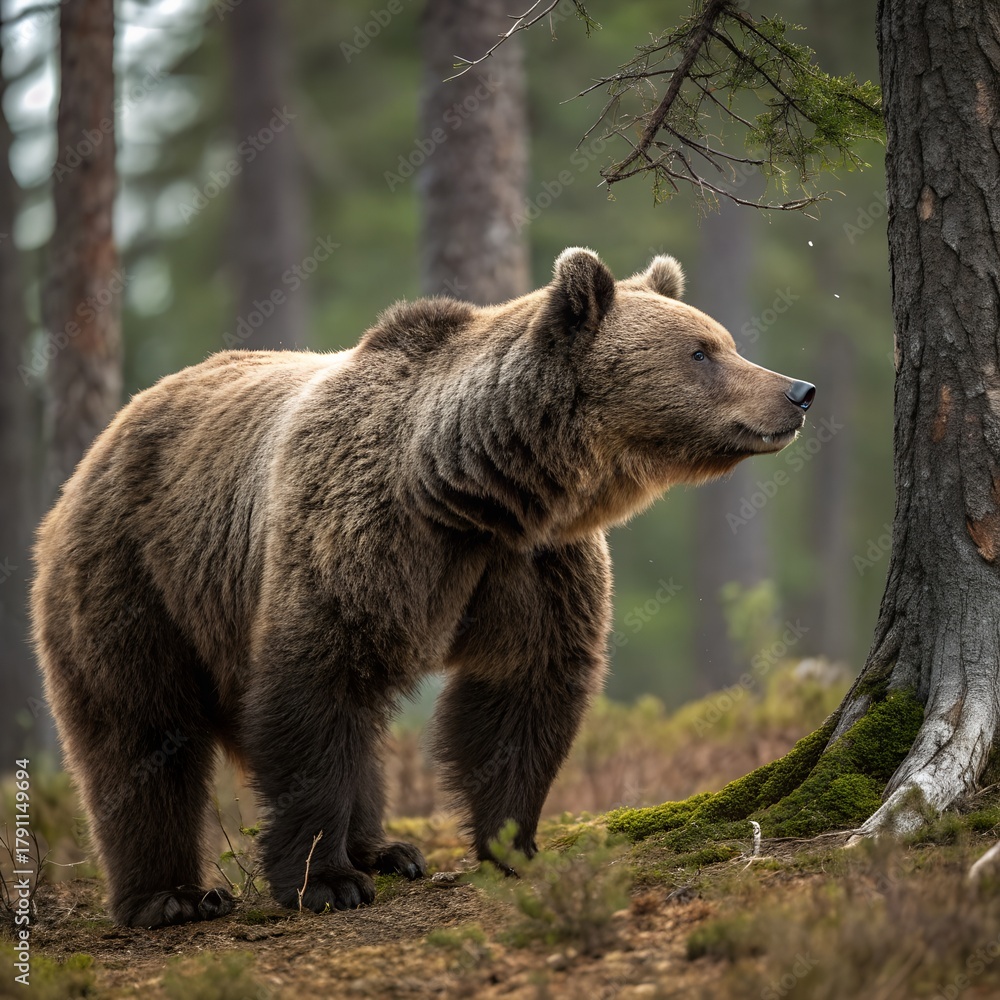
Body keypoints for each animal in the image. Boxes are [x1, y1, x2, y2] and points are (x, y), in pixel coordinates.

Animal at [31, 247, 815, 927]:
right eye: (701, 352)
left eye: (723, 341)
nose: (798, 391)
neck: (471, 492)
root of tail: (104, 441)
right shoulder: (358, 536)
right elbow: (314, 691)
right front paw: (326, 881)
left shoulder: (532, 563)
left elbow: (523, 691)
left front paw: (513, 845)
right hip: (137, 573)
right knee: (141, 729)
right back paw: (172, 896)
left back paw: (385, 850)